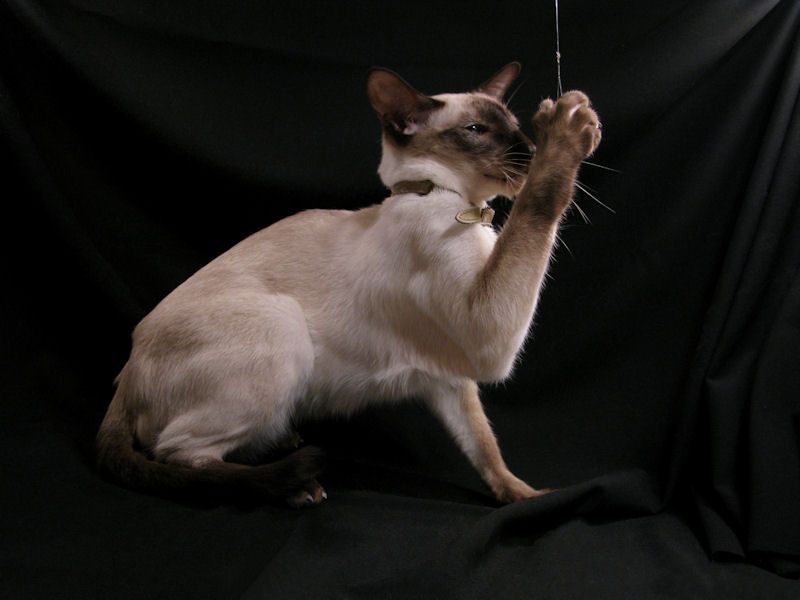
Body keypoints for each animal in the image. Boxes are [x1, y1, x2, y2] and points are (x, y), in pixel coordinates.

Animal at [96, 62, 601, 507]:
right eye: (477, 130)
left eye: (515, 127)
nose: (529, 149)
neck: (451, 201)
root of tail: (128, 365)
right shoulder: (487, 339)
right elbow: (540, 203)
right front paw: (569, 131)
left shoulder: (449, 378)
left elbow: (485, 448)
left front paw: (525, 497)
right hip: (280, 325)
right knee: (178, 453)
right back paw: (296, 487)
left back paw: (286, 445)